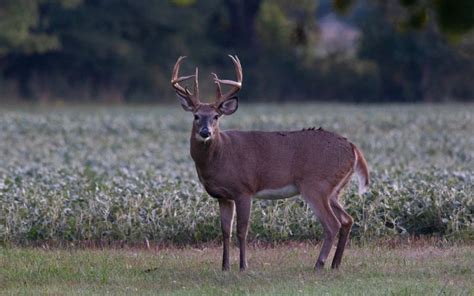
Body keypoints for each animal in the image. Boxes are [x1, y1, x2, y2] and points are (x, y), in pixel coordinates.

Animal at [172, 54, 368, 272]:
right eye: (196, 116)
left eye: (216, 116)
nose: (205, 132)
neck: (220, 156)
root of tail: (353, 148)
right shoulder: (223, 196)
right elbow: (225, 231)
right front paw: (225, 267)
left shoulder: (244, 189)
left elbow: (242, 230)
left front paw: (243, 266)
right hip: (334, 190)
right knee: (347, 220)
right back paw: (335, 264)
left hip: (316, 185)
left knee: (332, 224)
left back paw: (319, 264)